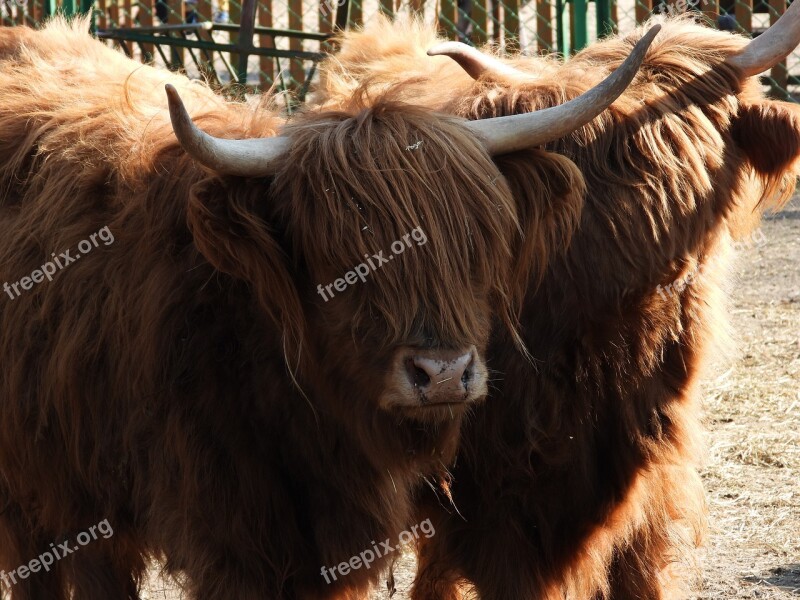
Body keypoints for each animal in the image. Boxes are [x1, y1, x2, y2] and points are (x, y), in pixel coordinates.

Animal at [314, 10, 800, 600]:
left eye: (707, 144)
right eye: (615, 163)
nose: (672, 258)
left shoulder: (650, 463)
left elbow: (640, 570)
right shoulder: (494, 492)